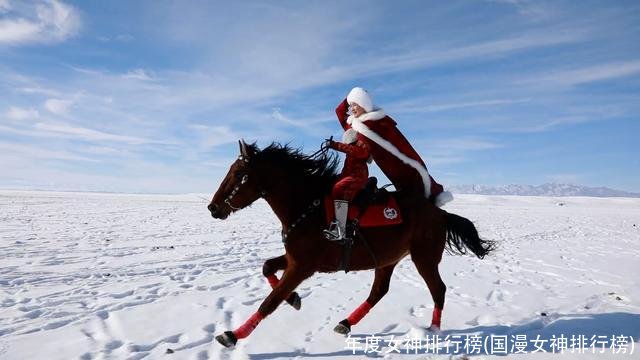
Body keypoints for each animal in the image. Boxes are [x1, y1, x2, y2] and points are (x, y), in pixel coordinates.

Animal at [208, 139, 492, 348]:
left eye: (238, 173)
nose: (213, 208)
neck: (307, 207)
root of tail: (440, 213)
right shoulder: (294, 259)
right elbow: (267, 267)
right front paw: (294, 299)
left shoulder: (302, 266)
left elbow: (269, 302)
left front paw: (232, 335)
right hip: (387, 259)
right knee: (379, 292)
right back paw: (345, 323)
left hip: (424, 258)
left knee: (438, 289)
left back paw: (433, 330)